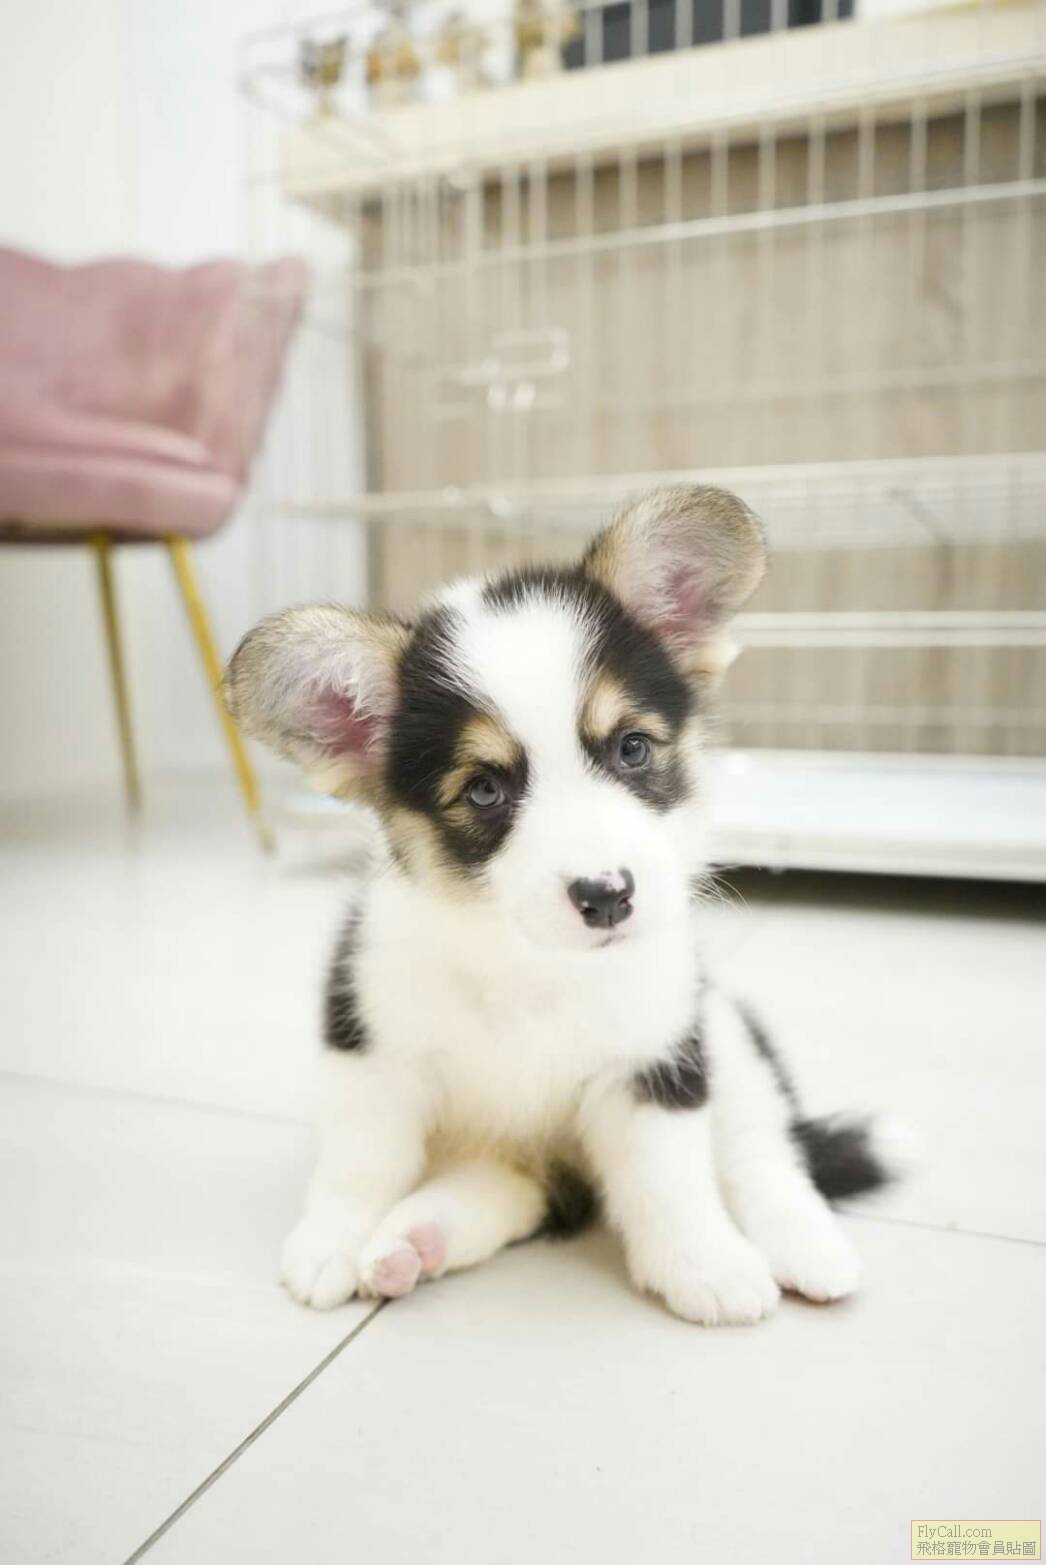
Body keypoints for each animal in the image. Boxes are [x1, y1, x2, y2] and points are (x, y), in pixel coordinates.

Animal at [225, 484, 900, 1325]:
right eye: (485, 789)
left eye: (632, 748)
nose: (607, 895)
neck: (533, 968)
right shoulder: (371, 1043)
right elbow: (361, 1160)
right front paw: (332, 1241)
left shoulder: (658, 1059)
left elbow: (671, 1179)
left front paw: (704, 1264)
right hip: (510, 1157)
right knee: (496, 1188)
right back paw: (408, 1245)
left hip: (732, 1041)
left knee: (765, 1150)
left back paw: (806, 1246)